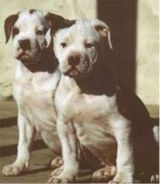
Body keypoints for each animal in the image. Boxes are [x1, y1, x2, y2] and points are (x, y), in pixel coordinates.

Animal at [1, 9, 74, 177]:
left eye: (40, 32)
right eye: (16, 31)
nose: (23, 42)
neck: (34, 72)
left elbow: (70, 147)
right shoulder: (24, 116)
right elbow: (23, 144)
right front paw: (18, 166)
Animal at [52, 18, 159, 183]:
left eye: (89, 45)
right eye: (63, 44)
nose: (73, 58)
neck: (83, 86)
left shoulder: (122, 124)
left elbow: (124, 156)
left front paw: (121, 179)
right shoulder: (65, 125)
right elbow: (69, 154)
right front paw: (66, 175)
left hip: (155, 129)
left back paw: (154, 173)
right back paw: (105, 171)